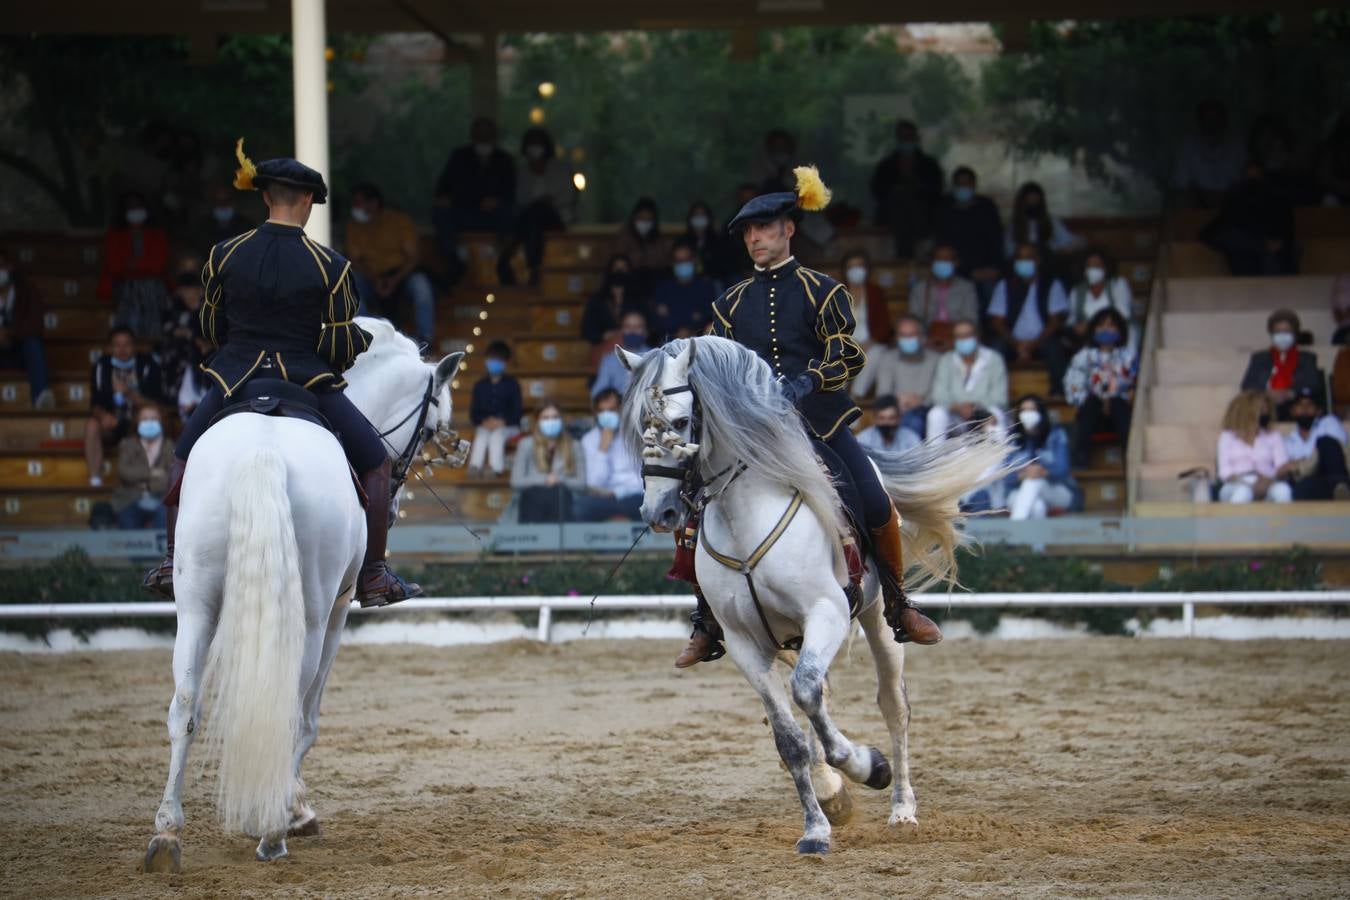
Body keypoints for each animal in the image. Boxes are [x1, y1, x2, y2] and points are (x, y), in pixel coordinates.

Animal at [145, 318, 464, 874]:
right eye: (427, 429)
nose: (395, 504)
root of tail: (265, 450)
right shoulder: (338, 614)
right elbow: (309, 719)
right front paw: (297, 809)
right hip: (314, 616)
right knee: (290, 712)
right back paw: (274, 830)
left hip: (196, 606)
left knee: (184, 708)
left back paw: (167, 834)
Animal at [618, 334, 1009, 858]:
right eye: (642, 423)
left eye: (681, 423)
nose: (658, 511)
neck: (746, 516)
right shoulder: (745, 643)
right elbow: (789, 739)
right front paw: (817, 827)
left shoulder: (827, 614)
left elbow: (809, 696)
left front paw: (868, 766)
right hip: (790, 640)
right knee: (814, 701)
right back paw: (832, 791)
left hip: (879, 621)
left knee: (892, 706)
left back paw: (902, 808)